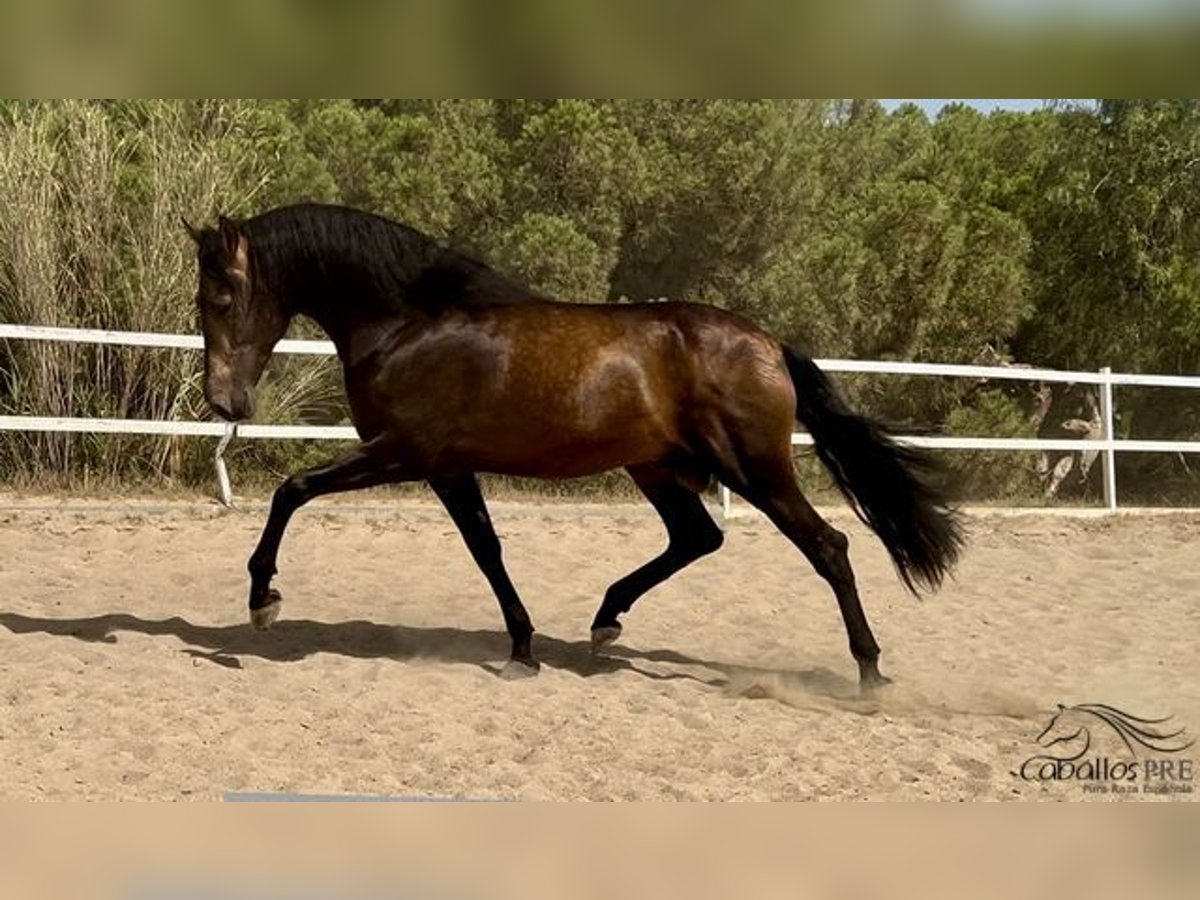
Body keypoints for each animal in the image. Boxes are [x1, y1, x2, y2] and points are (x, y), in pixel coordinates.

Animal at [180, 200, 964, 686]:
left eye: (220, 298)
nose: (224, 402)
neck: (410, 323)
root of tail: (768, 344)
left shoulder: (404, 452)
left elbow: (292, 492)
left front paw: (262, 599)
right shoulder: (449, 468)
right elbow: (487, 551)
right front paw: (523, 649)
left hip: (754, 469)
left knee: (828, 547)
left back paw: (869, 671)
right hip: (656, 468)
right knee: (698, 537)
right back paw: (605, 620)